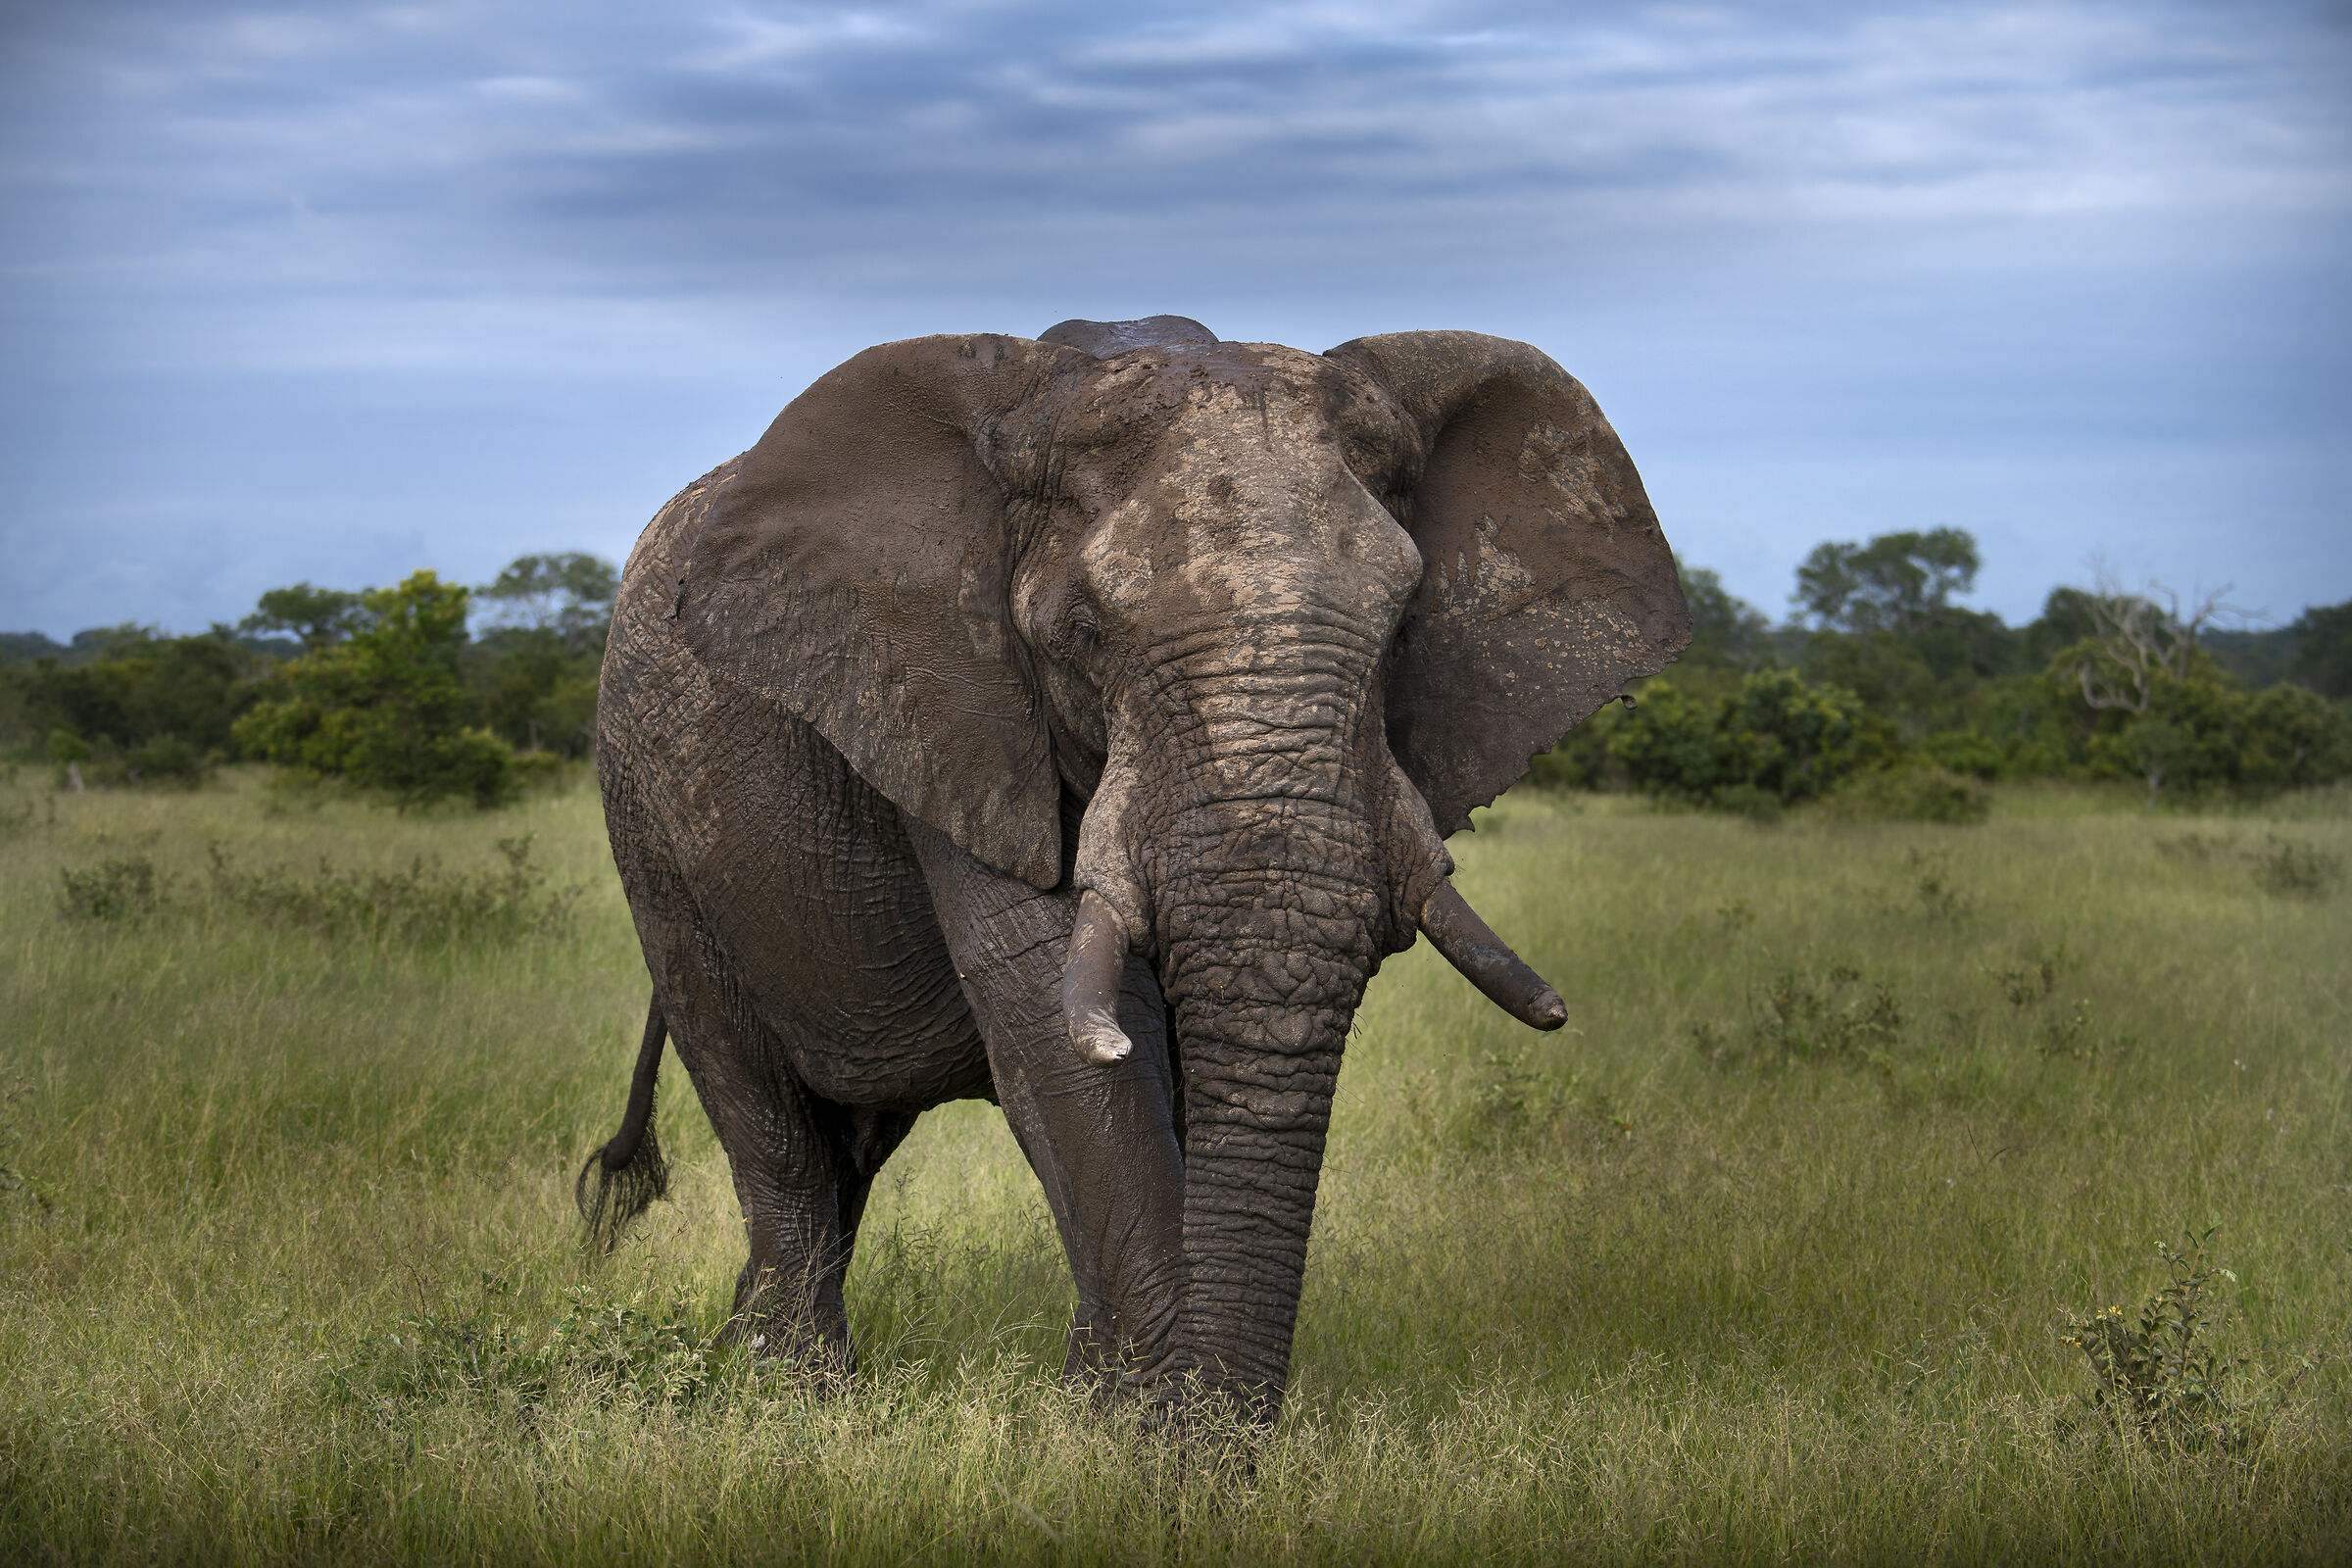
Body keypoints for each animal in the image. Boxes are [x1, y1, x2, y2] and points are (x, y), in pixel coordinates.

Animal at [578, 314, 1690, 1425]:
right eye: (1082, 634)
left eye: (1405, 625)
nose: (1223, 1443)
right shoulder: (955, 706)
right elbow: (1056, 1024)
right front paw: (1141, 1435)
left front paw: (1103, 1415)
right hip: (646, 819)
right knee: (770, 1122)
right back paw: (784, 1394)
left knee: (852, 1142)